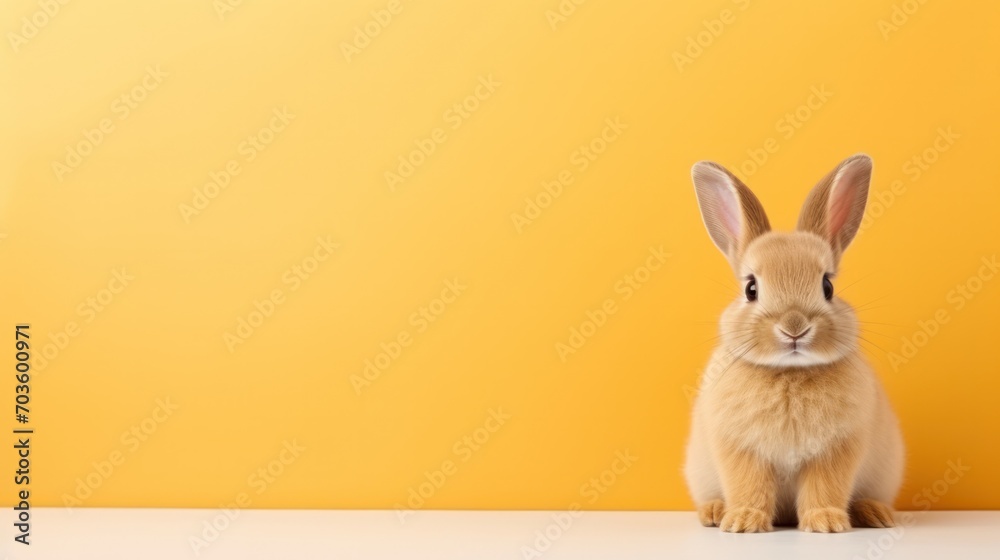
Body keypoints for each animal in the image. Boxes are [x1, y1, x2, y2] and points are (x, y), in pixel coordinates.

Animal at [683, 154, 904, 533]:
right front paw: (743, 522)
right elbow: (749, 485)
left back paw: (875, 513)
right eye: (751, 289)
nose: (794, 327)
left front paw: (826, 523)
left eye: (827, 287)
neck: (790, 372)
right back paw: (714, 512)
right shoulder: (741, 450)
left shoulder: (836, 450)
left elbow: (824, 487)